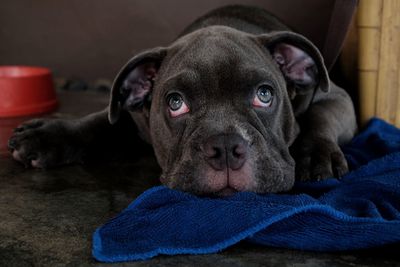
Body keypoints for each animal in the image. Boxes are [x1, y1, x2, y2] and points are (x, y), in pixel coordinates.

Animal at [7, 4, 356, 197]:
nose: (225, 145)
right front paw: (46, 135)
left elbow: (320, 117)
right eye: (175, 103)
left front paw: (315, 155)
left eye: (265, 95)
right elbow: (99, 122)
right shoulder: (132, 115)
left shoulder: (335, 97)